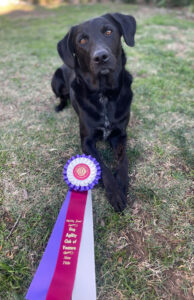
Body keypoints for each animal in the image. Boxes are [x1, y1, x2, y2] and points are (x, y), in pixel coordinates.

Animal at [51, 13, 136, 211]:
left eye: (109, 31)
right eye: (82, 40)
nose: (101, 57)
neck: (104, 94)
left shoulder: (120, 134)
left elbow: (123, 160)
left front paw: (122, 182)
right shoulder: (87, 141)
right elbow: (102, 166)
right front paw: (115, 193)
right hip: (55, 80)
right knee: (61, 96)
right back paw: (59, 106)